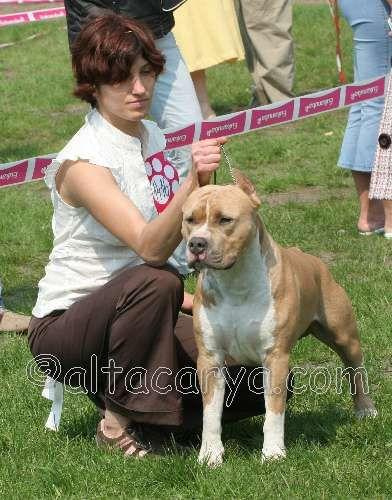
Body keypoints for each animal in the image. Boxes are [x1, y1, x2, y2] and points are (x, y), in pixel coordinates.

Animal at [182, 170, 378, 466]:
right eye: (189, 220)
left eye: (225, 219)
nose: (197, 244)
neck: (235, 281)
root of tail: (311, 259)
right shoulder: (210, 358)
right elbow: (211, 413)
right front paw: (210, 454)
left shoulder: (275, 357)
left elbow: (274, 409)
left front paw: (273, 452)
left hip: (344, 336)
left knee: (356, 371)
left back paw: (365, 409)